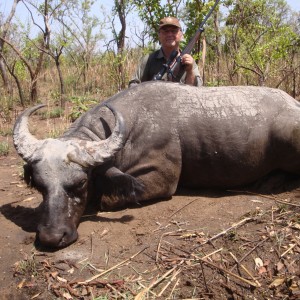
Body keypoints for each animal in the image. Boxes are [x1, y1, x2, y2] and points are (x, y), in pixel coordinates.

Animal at [12, 81, 300, 247]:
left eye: (80, 183)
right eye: (39, 185)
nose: (51, 238)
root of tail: (292, 103)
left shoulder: (161, 180)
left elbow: (107, 199)